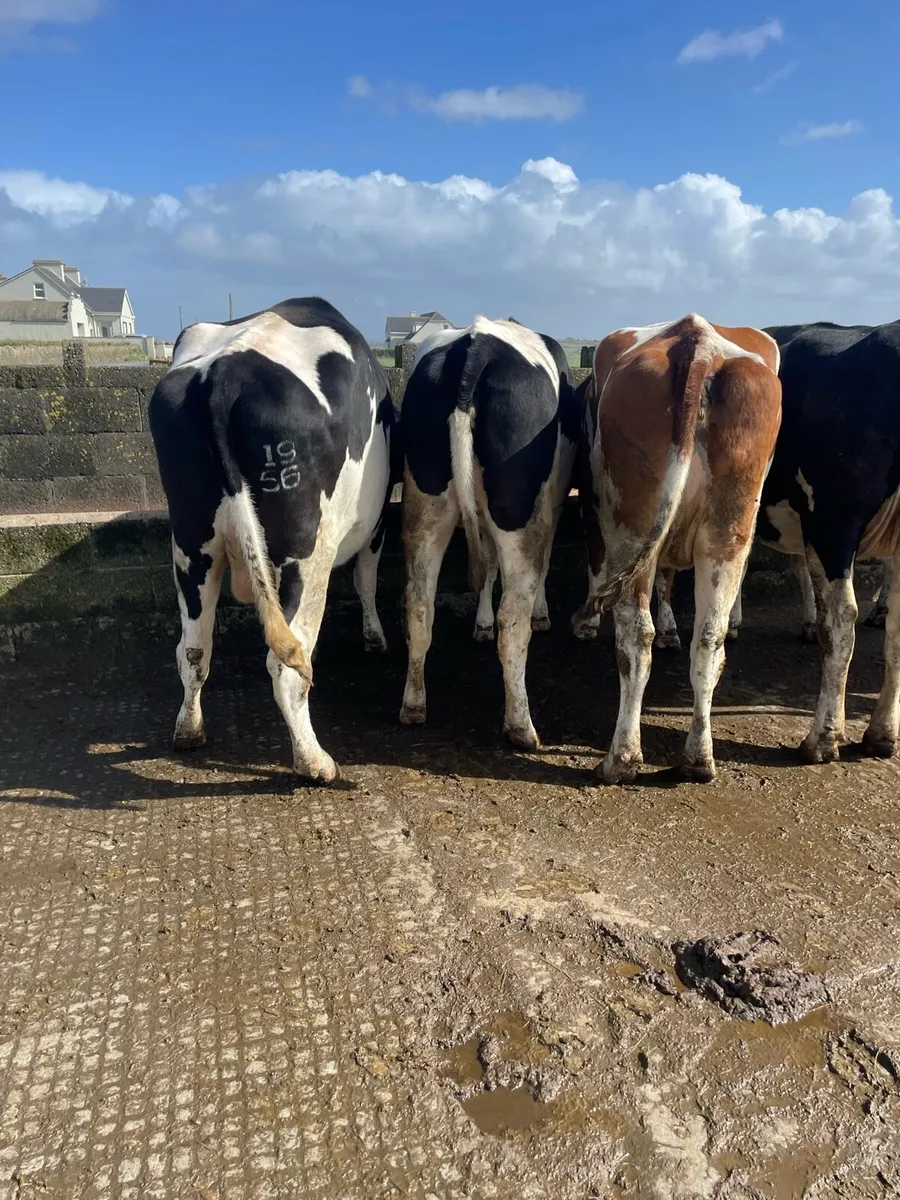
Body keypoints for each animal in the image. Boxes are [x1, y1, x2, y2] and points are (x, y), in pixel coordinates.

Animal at [148, 297, 396, 784]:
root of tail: (224, 373)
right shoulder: (375, 526)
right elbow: (367, 579)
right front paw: (374, 637)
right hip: (305, 550)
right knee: (287, 663)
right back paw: (316, 763)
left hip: (191, 543)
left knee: (193, 648)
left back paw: (189, 731)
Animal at [398, 316, 580, 749]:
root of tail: (476, 345)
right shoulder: (553, 498)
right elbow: (542, 562)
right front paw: (541, 614)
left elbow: (486, 568)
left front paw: (479, 623)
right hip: (518, 511)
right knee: (512, 620)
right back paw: (521, 726)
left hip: (425, 502)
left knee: (419, 604)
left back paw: (413, 704)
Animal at [572, 314, 782, 783]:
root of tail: (698, 343)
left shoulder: (596, 509)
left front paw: (588, 624)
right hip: (728, 528)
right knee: (708, 638)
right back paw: (698, 760)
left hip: (631, 520)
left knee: (635, 636)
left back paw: (621, 759)